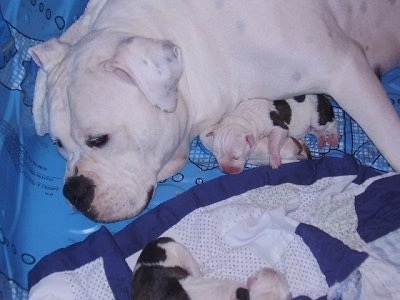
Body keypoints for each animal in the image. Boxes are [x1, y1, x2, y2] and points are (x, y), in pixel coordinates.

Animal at [200, 94, 338, 173]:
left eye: (236, 157)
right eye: (216, 156)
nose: (226, 171)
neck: (242, 119)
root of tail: (324, 98)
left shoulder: (278, 127)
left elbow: (273, 143)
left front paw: (275, 160)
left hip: (318, 119)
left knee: (332, 124)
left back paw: (334, 138)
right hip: (310, 127)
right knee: (317, 131)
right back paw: (321, 140)